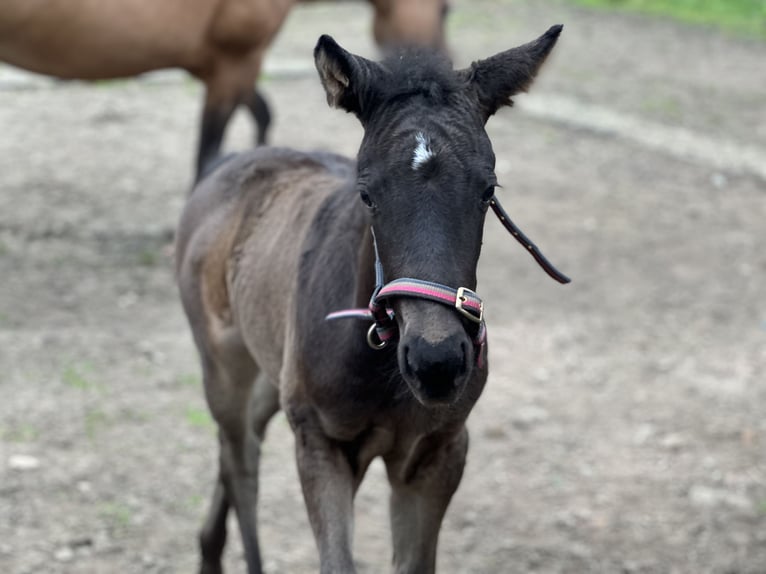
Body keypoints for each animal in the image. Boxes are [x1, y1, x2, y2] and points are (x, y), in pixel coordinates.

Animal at [175, 25, 566, 573]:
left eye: (488, 190)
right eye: (367, 193)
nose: (436, 361)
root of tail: (227, 163)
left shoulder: (439, 451)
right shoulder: (320, 441)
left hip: (272, 369)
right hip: (223, 366)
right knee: (240, 460)